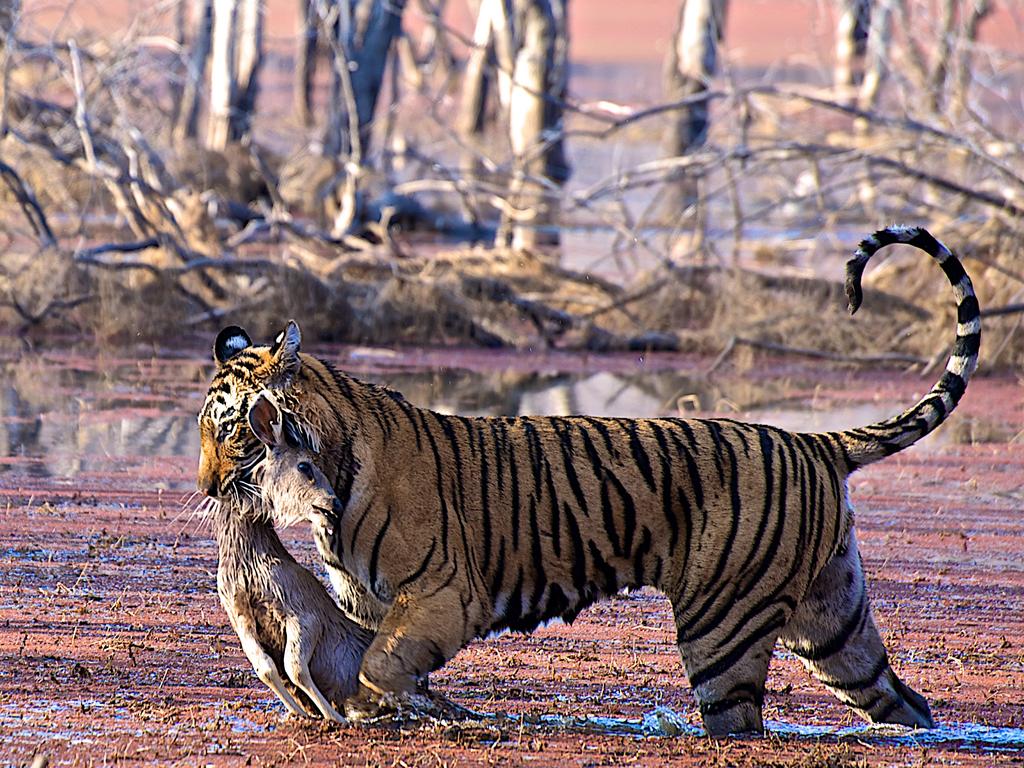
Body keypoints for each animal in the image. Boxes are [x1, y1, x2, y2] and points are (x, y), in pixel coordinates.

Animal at [195, 225, 978, 737]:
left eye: (232, 431)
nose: (204, 488)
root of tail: (813, 441)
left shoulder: (444, 594)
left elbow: (379, 667)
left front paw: (400, 709)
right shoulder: (362, 602)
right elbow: (366, 661)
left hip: (722, 628)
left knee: (740, 718)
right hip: (833, 622)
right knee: (900, 699)